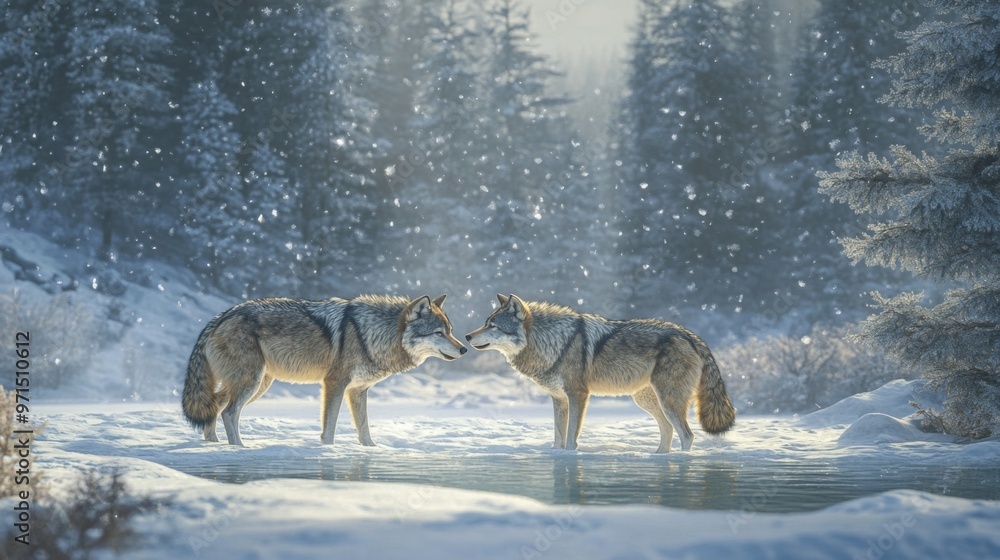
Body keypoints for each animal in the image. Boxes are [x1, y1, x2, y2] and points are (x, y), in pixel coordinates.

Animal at [182, 294, 466, 446]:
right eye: (438, 333)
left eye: (451, 331)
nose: (464, 349)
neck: (372, 334)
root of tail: (220, 316)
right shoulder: (335, 383)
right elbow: (329, 426)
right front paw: (328, 450)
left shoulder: (358, 390)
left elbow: (364, 429)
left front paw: (373, 450)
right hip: (252, 383)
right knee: (229, 412)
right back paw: (239, 448)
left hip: (258, 384)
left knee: (215, 405)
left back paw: (214, 445)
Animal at [465, 294, 735, 452]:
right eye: (485, 322)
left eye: (493, 325)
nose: (467, 336)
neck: (553, 342)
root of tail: (689, 335)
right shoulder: (559, 399)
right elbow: (558, 437)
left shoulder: (578, 395)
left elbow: (571, 438)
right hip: (646, 400)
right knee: (668, 430)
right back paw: (658, 458)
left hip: (667, 401)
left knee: (687, 436)